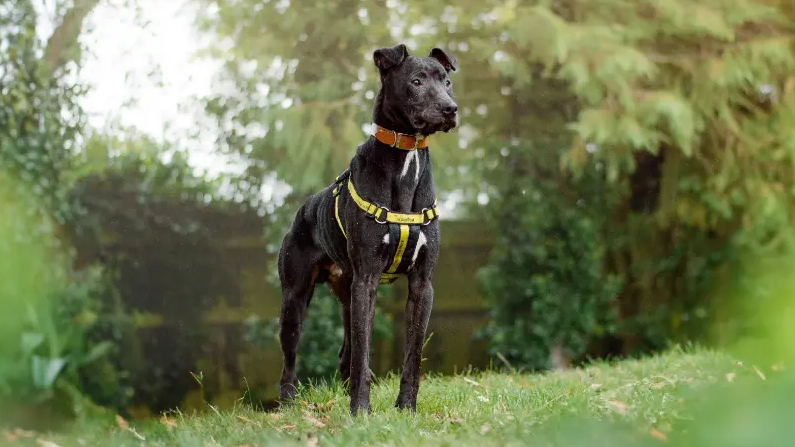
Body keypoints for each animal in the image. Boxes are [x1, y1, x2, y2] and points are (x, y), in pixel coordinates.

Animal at [278, 43, 460, 416]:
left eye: (447, 81)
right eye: (416, 81)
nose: (451, 109)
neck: (406, 157)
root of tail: (303, 211)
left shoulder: (422, 284)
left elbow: (412, 354)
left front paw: (406, 407)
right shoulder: (367, 280)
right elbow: (364, 353)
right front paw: (361, 410)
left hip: (346, 294)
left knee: (344, 352)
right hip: (295, 297)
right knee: (291, 357)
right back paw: (287, 402)